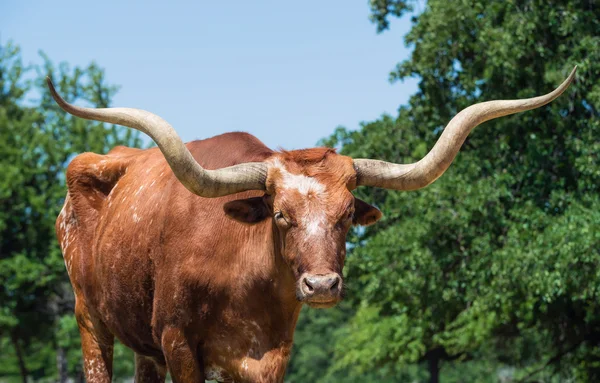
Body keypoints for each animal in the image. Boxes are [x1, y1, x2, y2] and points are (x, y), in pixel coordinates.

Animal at [50, 67, 576, 382]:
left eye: (347, 217)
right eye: (281, 215)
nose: (321, 285)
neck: (238, 274)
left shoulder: (270, 355)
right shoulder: (178, 342)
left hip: (141, 343)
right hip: (88, 317)